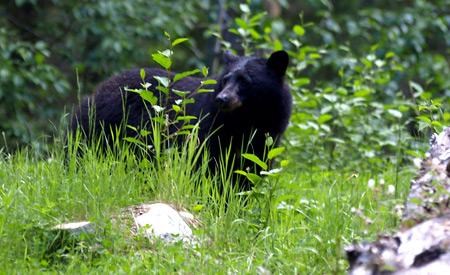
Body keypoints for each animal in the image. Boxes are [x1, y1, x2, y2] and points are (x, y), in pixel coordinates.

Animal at [70, 50, 292, 190]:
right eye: (225, 79)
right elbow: (206, 168)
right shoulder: (208, 129)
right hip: (101, 127)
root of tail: (98, 90)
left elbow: (248, 172)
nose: (222, 99)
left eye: (245, 81)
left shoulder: (266, 136)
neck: (245, 119)